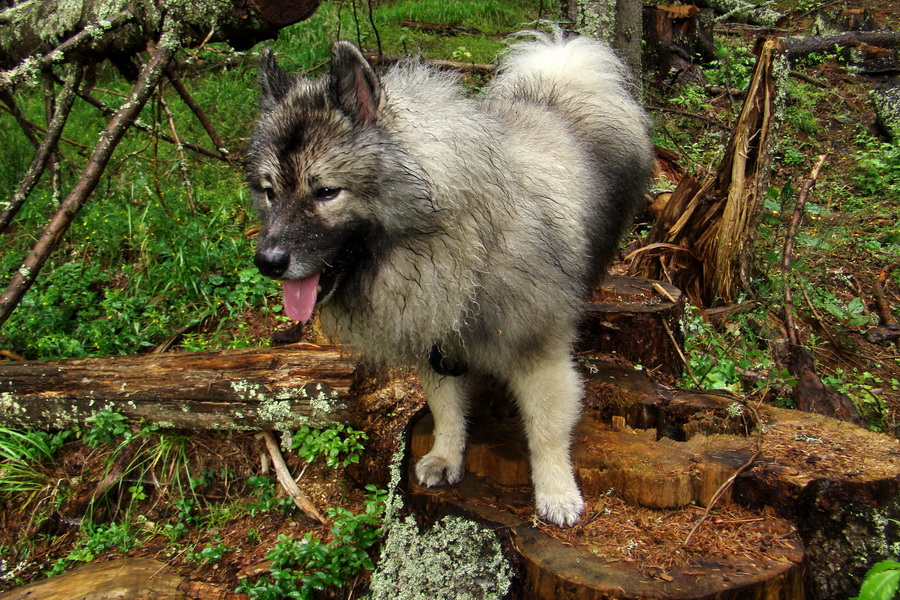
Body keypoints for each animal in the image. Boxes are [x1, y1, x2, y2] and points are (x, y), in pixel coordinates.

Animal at [248, 29, 652, 524]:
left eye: (326, 192)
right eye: (270, 193)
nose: (267, 261)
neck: (450, 239)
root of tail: (563, 80)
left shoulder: (539, 352)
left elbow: (546, 429)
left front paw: (556, 490)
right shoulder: (437, 343)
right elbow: (446, 409)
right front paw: (446, 455)